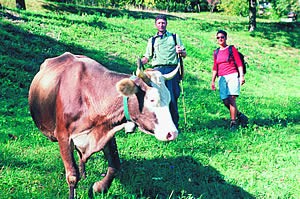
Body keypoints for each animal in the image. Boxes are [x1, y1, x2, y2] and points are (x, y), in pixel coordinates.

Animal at [27, 52, 178, 198]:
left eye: (169, 98)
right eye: (152, 99)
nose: (172, 133)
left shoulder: (108, 130)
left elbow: (115, 165)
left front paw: (98, 187)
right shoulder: (63, 136)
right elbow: (72, 176)